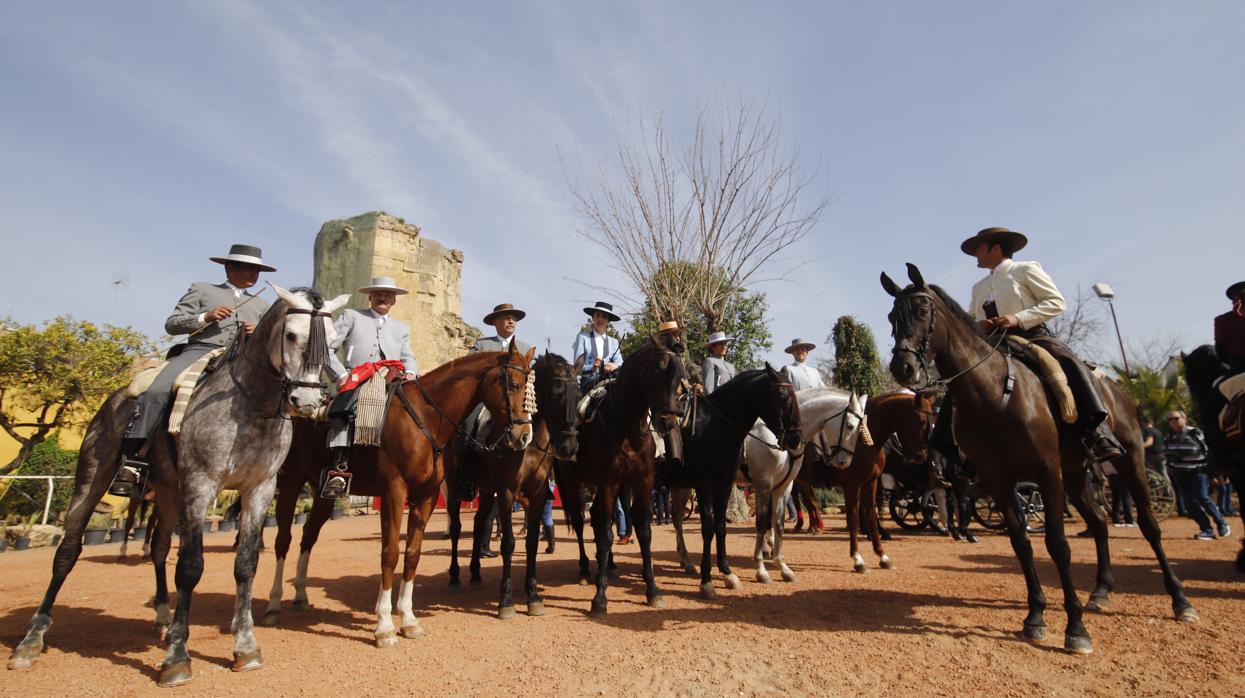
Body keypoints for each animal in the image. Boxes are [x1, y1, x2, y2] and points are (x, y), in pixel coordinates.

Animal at [557, 335, 692, 614]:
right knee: (580, 522)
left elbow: (643, 530)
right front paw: (600, 597)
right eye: (657, 370)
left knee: (599, 520)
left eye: (680, 375)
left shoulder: (642, 482)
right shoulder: (608, 482)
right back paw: (585, 569)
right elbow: (608, 535)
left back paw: (608, 565)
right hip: (575, 483)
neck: (627, 429)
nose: (667, 420)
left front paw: (652, 589)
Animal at [667, 360, 801, 597]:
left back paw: (686, 562)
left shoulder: (726, 484)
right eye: (783, 396)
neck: (714, 427)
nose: (796, 438)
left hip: (679, 485)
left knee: (676, 518)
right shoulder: (706, 483)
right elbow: (709, 527)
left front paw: (728, 572)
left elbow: (722, 526)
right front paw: (707, 581)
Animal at [677, 388, 871, 584]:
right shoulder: (763, 484)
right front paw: (761, 569)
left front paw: (782, 566)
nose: (844, 462)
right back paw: (687, 561)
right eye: (850, 426)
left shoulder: (784, 486)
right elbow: (762, 523)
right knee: (677, 518)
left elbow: (778, 523)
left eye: (861, 428)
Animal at [881, 262, 1200, 651]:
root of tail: (1117, 389)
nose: (902, 368)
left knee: (1149, 526)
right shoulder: (998, 480)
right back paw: (1101, 590)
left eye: (922, 311)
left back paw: (1180, 600)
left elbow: (1057, 544)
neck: (994, 395)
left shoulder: (1047, 473)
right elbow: (1020, 543)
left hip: (1129, 462)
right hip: (1075, 474)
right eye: (891, 316)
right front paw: (1035, 616)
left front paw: (1075, 628)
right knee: (1099, 522)